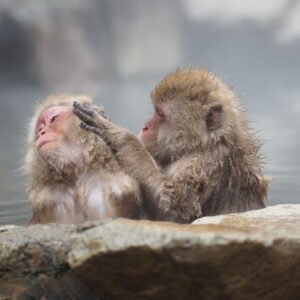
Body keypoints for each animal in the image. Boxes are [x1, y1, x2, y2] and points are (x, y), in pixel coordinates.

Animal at [24, 95, 141, 224]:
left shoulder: (121, 189)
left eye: (54, 118)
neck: (78, 176)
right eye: (40, 127)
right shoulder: (47, 200)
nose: (41, 132)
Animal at [73, 68, 270, 223]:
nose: (144, 127)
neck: (201, 145)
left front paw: (120, 135)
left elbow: (174, 210)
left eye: (160, 114)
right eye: (155, 111)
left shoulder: (202, 164)